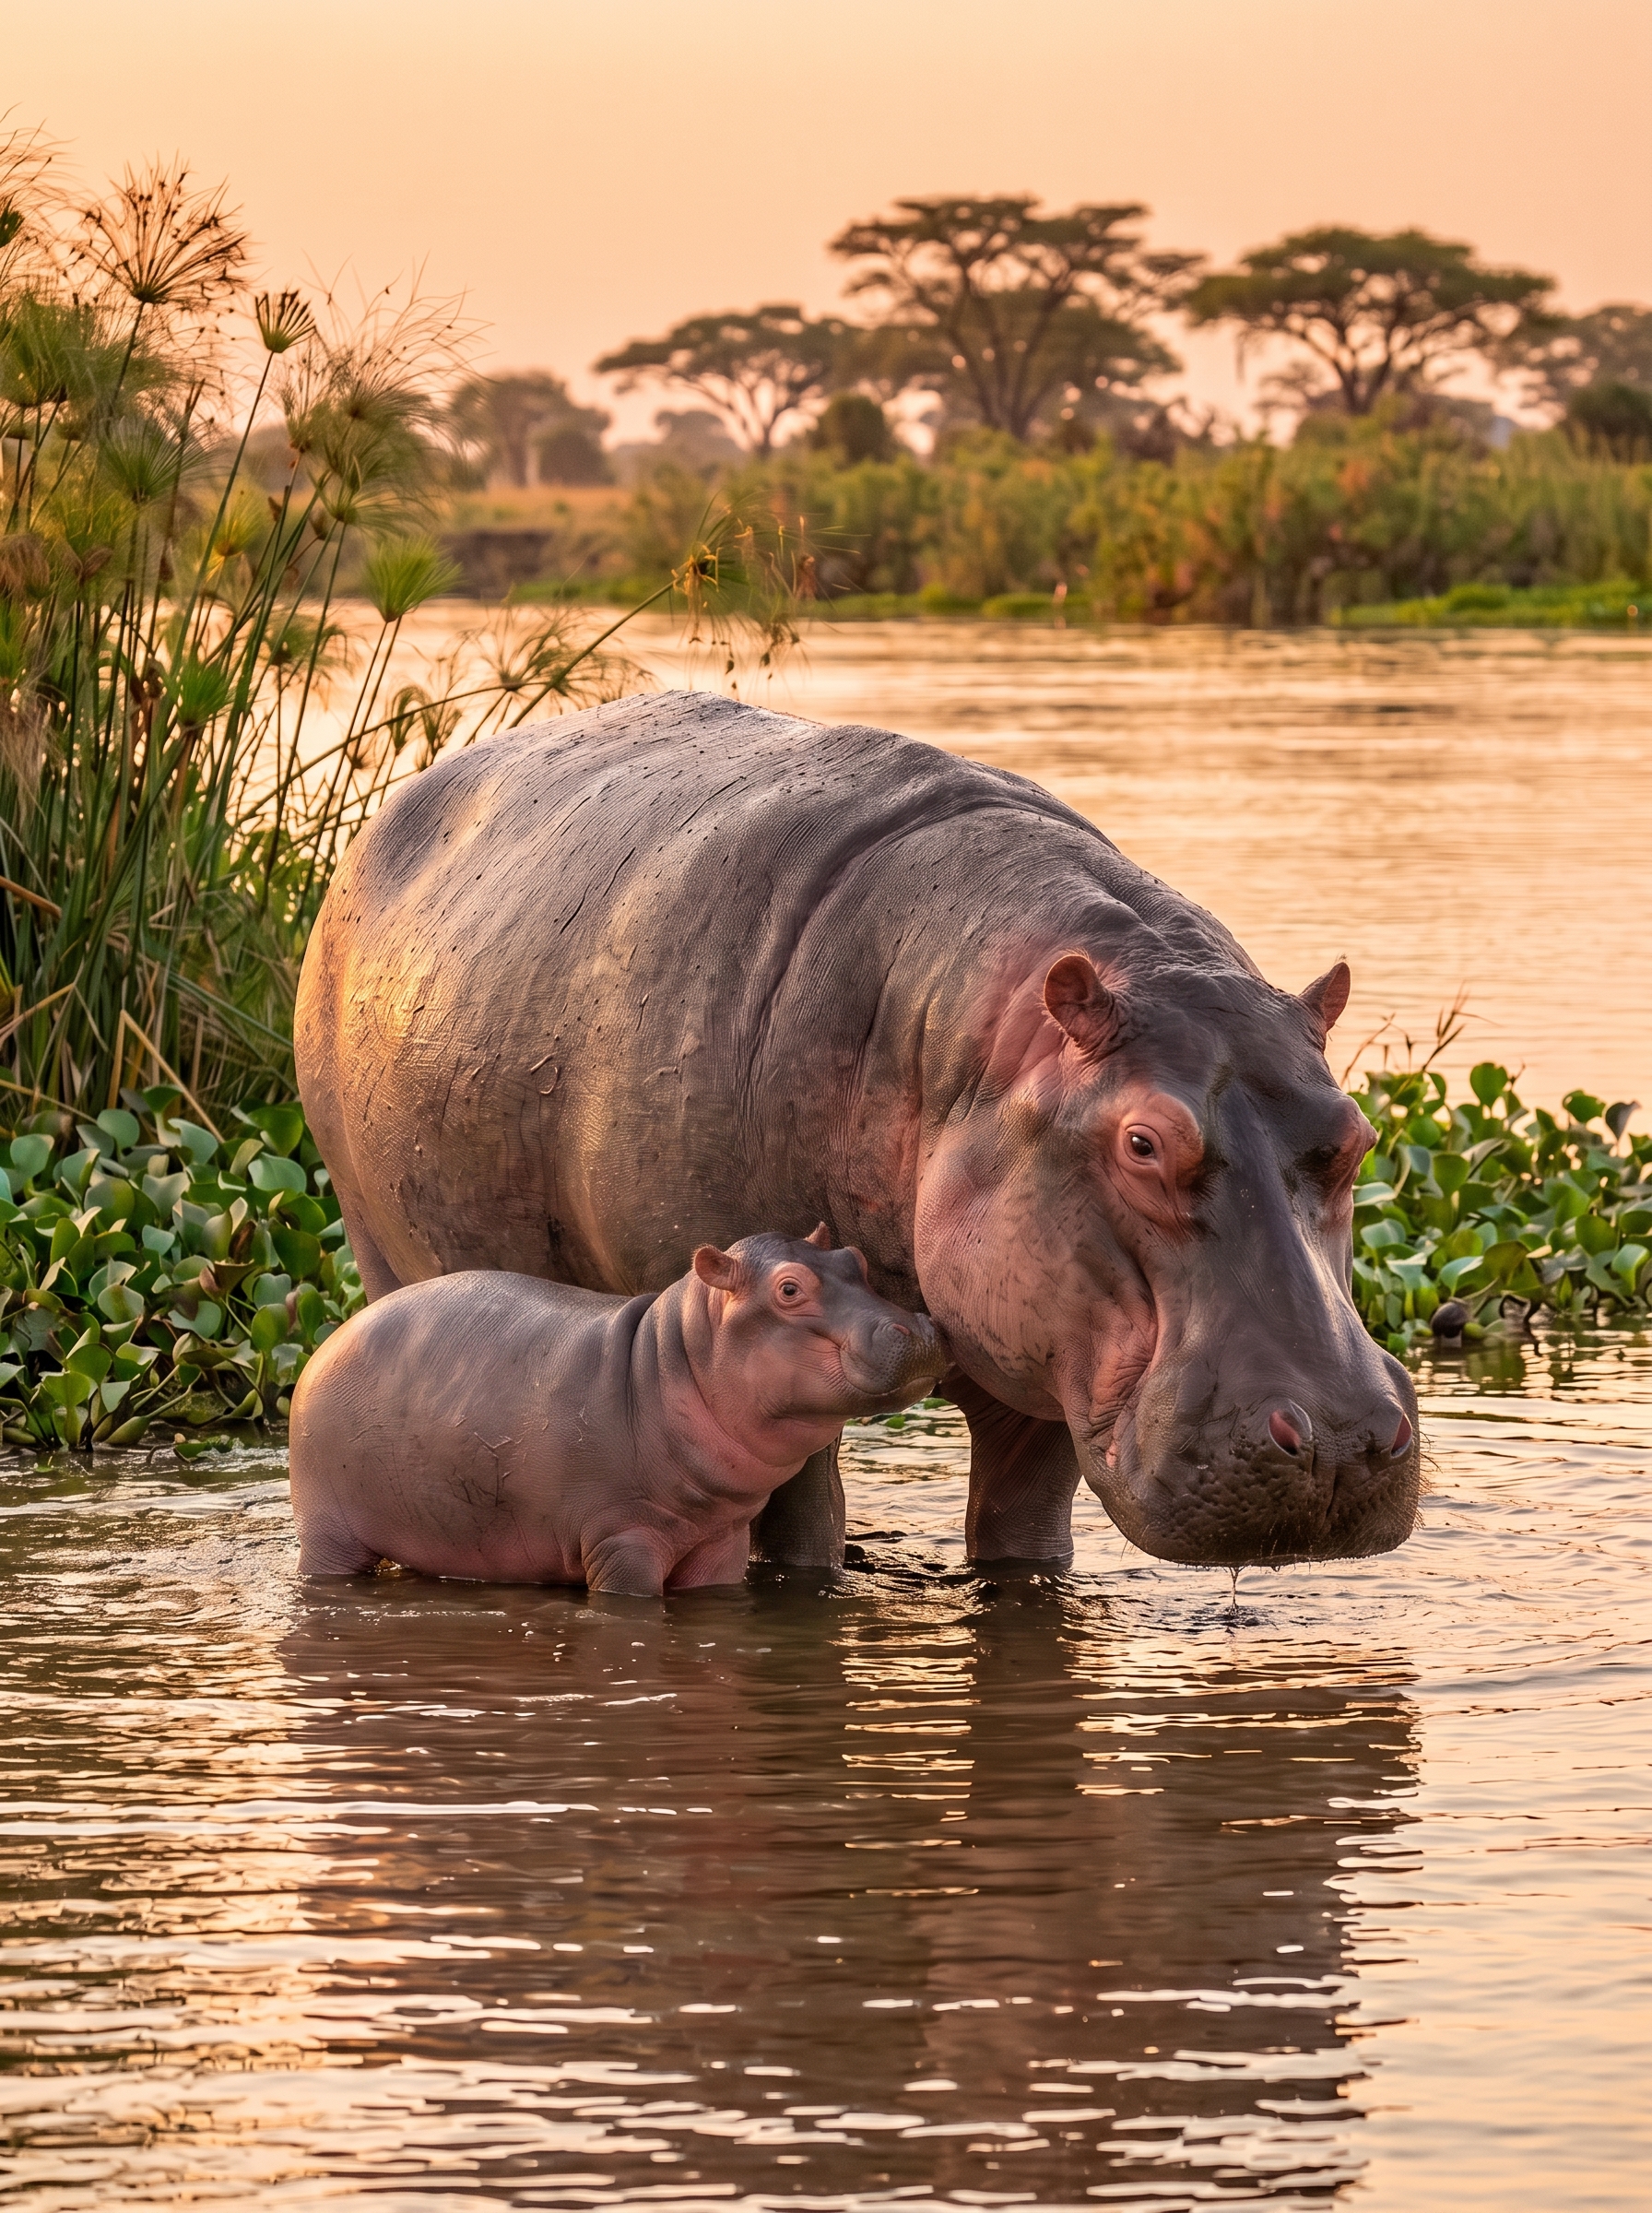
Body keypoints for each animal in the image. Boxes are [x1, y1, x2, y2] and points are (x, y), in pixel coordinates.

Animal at [289, 1227, 946, 1592]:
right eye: (789, 1289)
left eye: (855, 1259)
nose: (920, 1329)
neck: (675, 1359)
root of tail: (329, 1337)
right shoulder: (622, 1541)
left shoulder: (720, 1542)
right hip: (328, 1531)